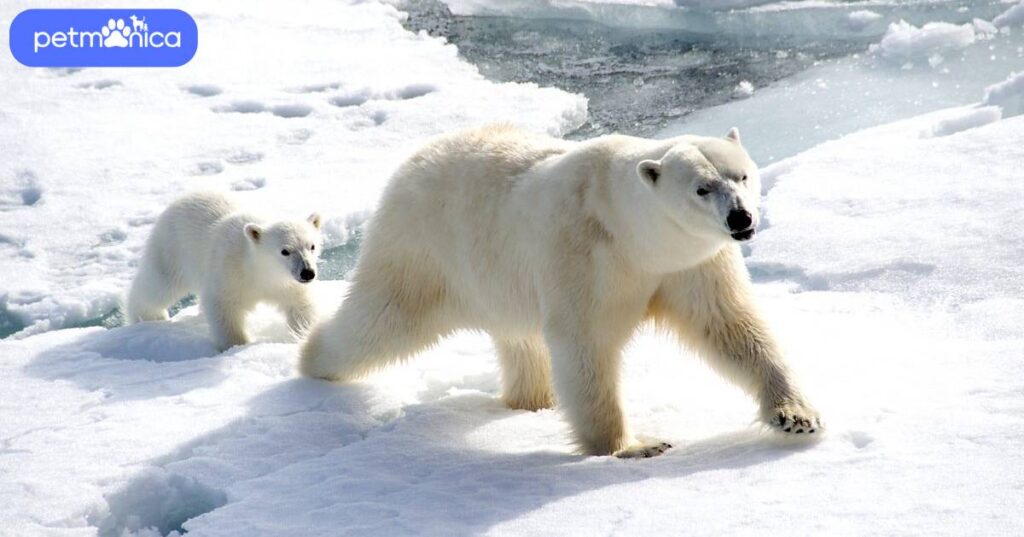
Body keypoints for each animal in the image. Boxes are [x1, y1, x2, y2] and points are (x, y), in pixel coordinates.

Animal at [126, 190, 321, 350]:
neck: (259, 270)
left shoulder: (288, 284)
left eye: (312, 246)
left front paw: (304, 336)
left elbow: (300, 306)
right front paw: (237, 346)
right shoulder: (230, 271)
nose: (307, 273)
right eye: (285, 251)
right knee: (159, 286)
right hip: (172, 249)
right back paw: (150, 318)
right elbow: (224, 309)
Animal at [299, 126, 823, 457]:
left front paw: (796, 416)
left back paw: (532, 400)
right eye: (701, 188)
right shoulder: (584, 253)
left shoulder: (690, 263)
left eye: (742, 175)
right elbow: (584, 342)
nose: (741, 218)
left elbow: (731, 327)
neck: (632, 232)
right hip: (424, 248)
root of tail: (413, 158)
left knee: (520, 341)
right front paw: (633, 446)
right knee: (381, 320)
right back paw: (311, 361)